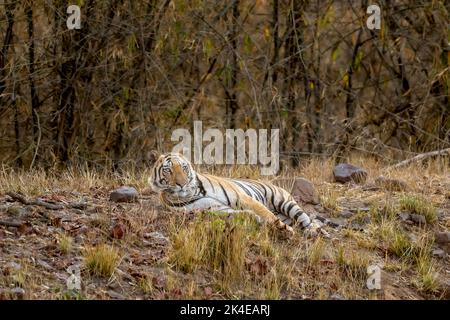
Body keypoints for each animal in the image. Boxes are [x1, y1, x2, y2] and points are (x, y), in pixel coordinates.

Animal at [149, 152, 326, 238]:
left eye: (184, 167)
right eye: (168, 170)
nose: (182, 183)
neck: (192, 192)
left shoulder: (241, 197)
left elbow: (264, 213)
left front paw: (282, 229)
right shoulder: (213, 207)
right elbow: (238, 214)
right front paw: (254, 218)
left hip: (285, 202)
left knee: (305, 219)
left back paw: (316, 232)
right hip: (285, 213)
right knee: (299, 222)